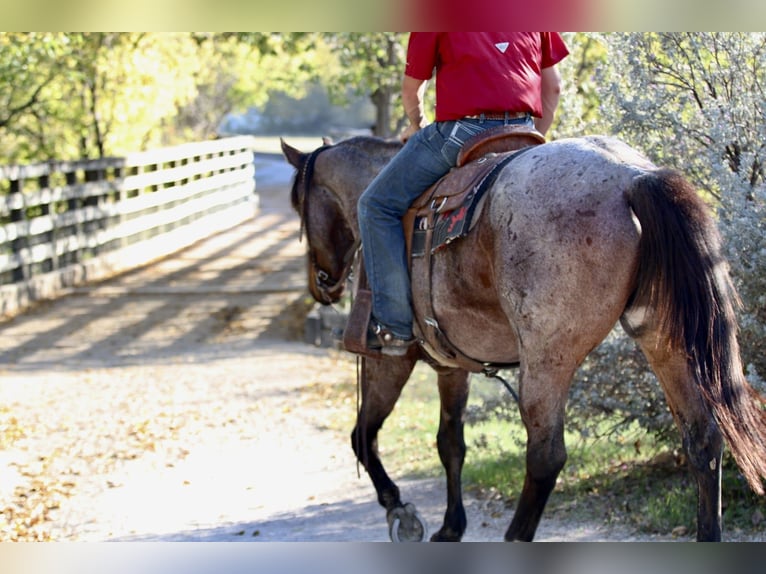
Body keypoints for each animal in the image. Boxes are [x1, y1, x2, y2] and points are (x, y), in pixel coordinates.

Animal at [280, 134, 766, 542]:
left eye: (299, 205)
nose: (322, 286)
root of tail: (633, 176)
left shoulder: (389, 359)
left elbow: (363, 436)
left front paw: (400, 511)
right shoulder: (452, 367)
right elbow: (450, 444)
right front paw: (451, 527)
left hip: (547, 360)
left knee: (546, 456)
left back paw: (515, 536)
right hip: (666, 342)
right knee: (704, 438)